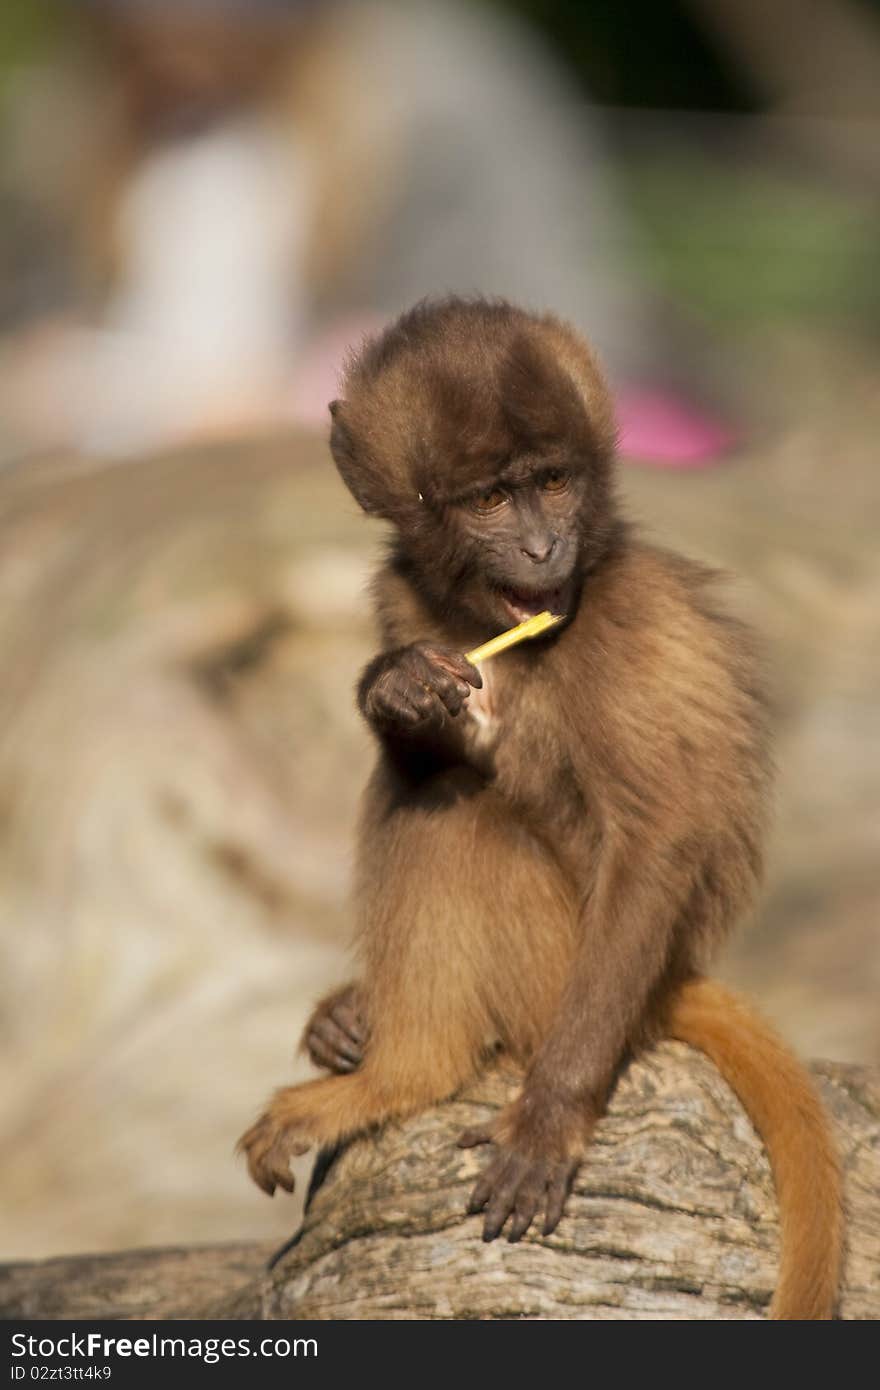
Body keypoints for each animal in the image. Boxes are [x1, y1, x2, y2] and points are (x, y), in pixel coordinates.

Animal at [236, 298, 839, 1317]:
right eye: (489, 500)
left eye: (553, 484)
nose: (542, 550)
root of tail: (671, 979)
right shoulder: (402, 594)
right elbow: (417, 717)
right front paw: (394, 688)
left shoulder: (625, 628)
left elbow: (656, 842)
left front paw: (549, 1115)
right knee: (428, 783)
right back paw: (358, 1020)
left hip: (563, 972)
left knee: (458, 816)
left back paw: (404, 1075)